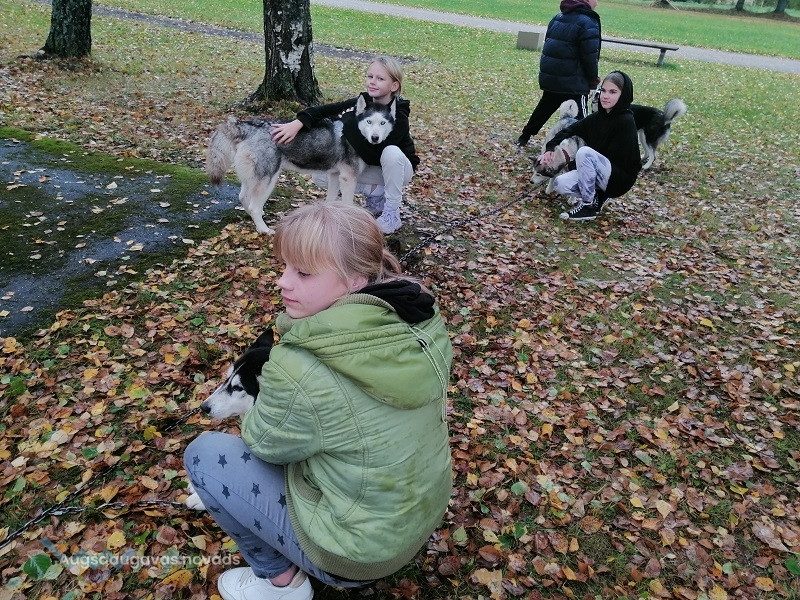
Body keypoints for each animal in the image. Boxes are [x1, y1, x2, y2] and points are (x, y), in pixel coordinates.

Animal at [206, 95, 396, 234]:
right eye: (369, 122)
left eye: (382, 123)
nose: (375, 138)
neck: (356, 134)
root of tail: (245, 124)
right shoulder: (348, 178)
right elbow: (348, 204)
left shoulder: (334, 175)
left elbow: (331, 200)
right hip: (269, 179)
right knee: (253, 205)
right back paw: (263, 229)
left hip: (255, 178)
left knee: (243, 198)